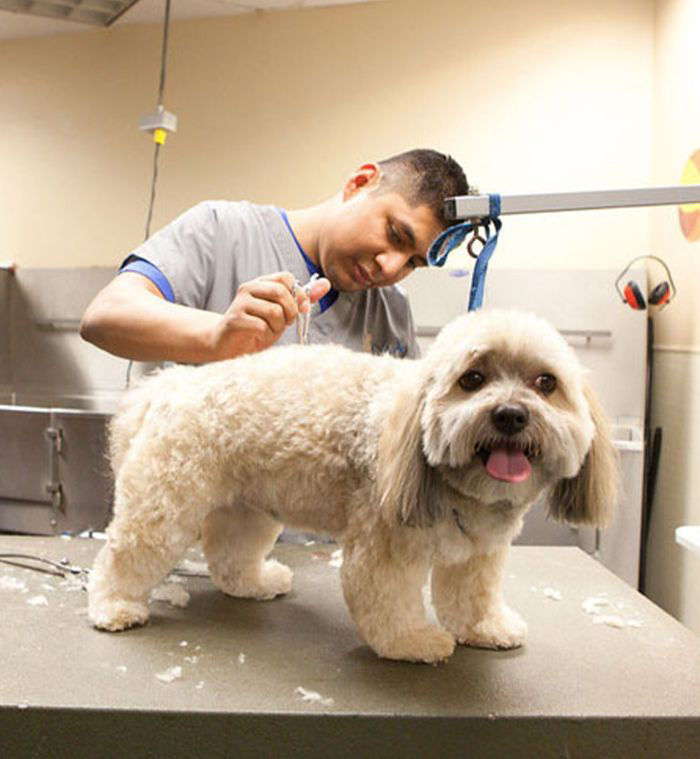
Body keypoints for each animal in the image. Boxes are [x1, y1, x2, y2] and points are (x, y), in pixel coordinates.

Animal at [89, 308, 616, 664]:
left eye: (546, 383)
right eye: (473, 379)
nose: (509, 414)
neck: (460, 489)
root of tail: (170, 385)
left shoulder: (478, 554)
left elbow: (472, 597)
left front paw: (487, 628)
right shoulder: (384, 543)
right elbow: (385, 599)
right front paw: (412, 641)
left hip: (249, 507)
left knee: (231, 557)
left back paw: (257, 583)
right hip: (164, 505)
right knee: (125, 556)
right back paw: (114, 607)